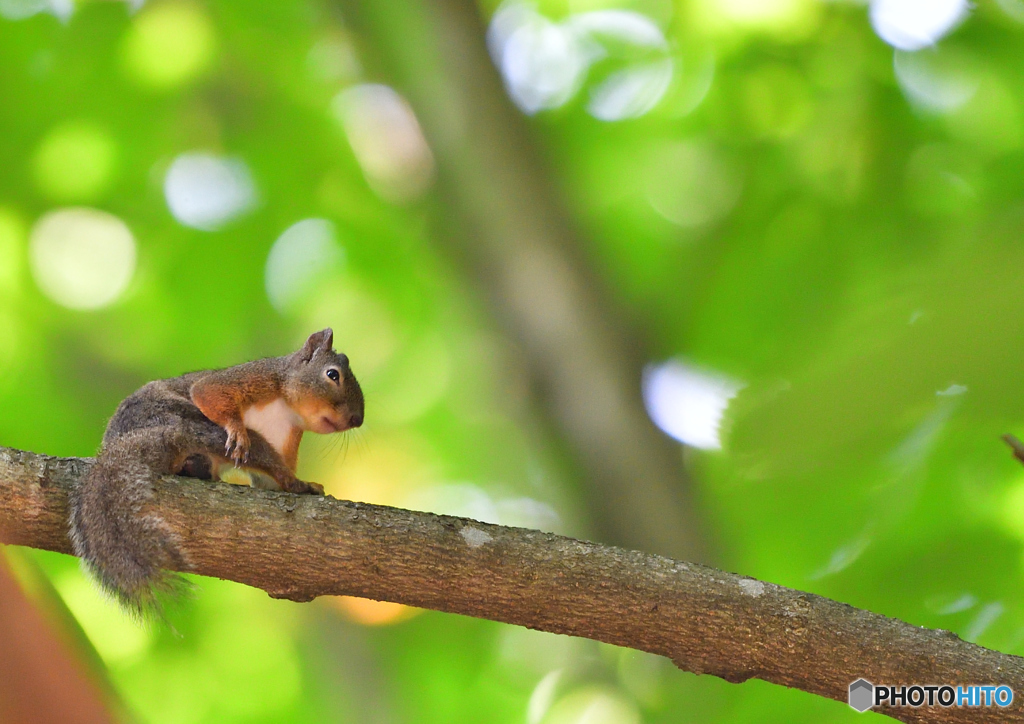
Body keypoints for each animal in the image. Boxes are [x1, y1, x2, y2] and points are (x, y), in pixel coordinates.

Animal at [69, 327, 364, 618]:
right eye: (332, 374)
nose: (357, 419)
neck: (287, 410)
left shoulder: (286, 439)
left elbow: (270, 482)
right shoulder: (256, 377)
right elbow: (208, 391)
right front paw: (237, 429)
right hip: (188, 422)